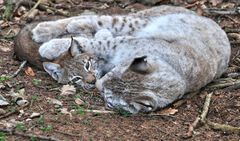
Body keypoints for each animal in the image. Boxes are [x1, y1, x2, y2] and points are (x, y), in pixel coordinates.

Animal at [23, 5, 231, 113]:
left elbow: (98, 42)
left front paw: (54, 47)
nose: (96, 84)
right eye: (114, 73)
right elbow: (98, 41)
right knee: (98, 19)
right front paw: (51, 46)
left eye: (107, 94)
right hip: (136, 23)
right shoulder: (124, 41)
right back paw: (47, 30)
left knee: (95, 24)